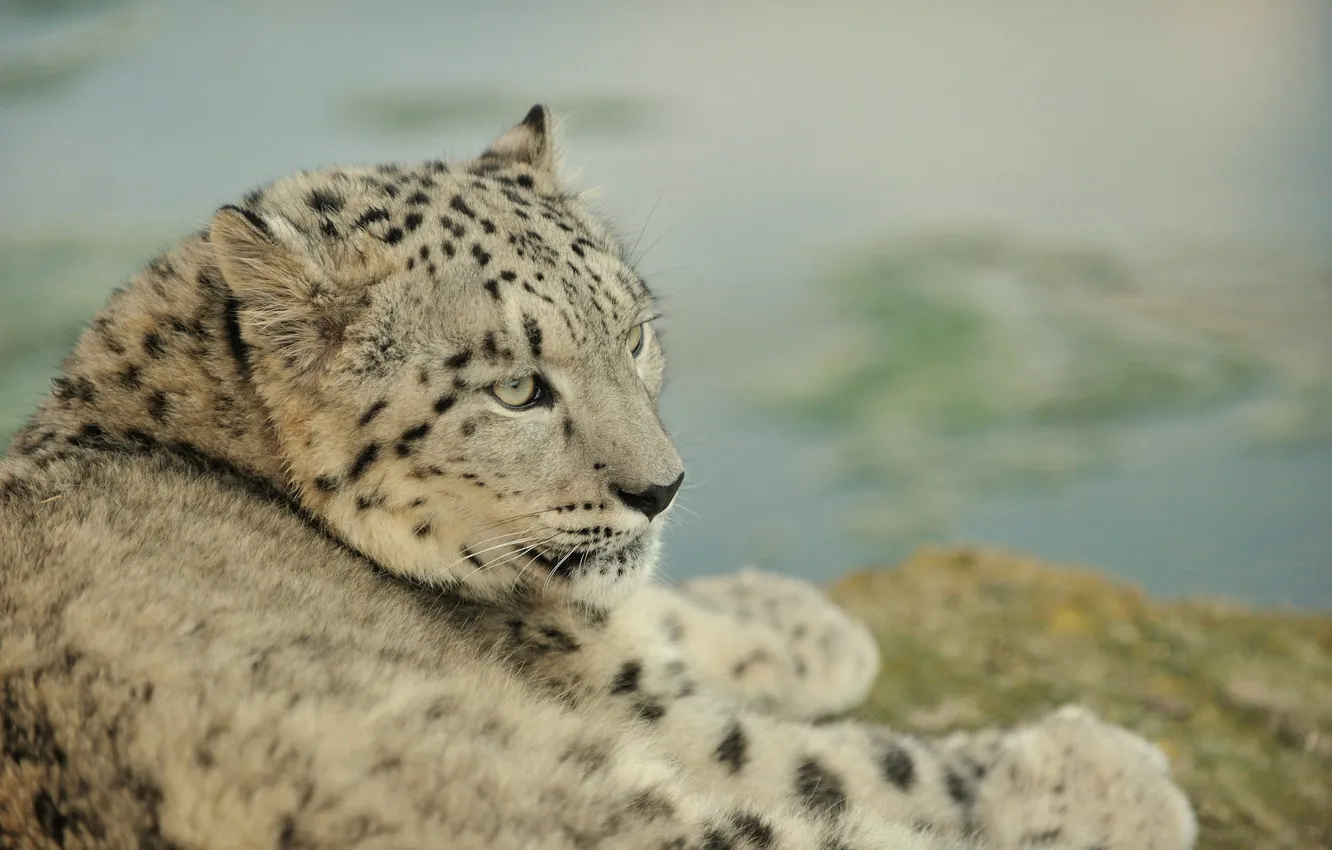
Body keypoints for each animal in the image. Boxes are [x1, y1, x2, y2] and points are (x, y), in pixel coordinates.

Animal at [0, 105, 1196, 850]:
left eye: (633, 334)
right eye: (517, 388)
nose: (662, 487)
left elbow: (654, 614)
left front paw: (796, 621)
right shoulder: (629, 712)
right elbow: (836, 762)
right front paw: (1092, 763)